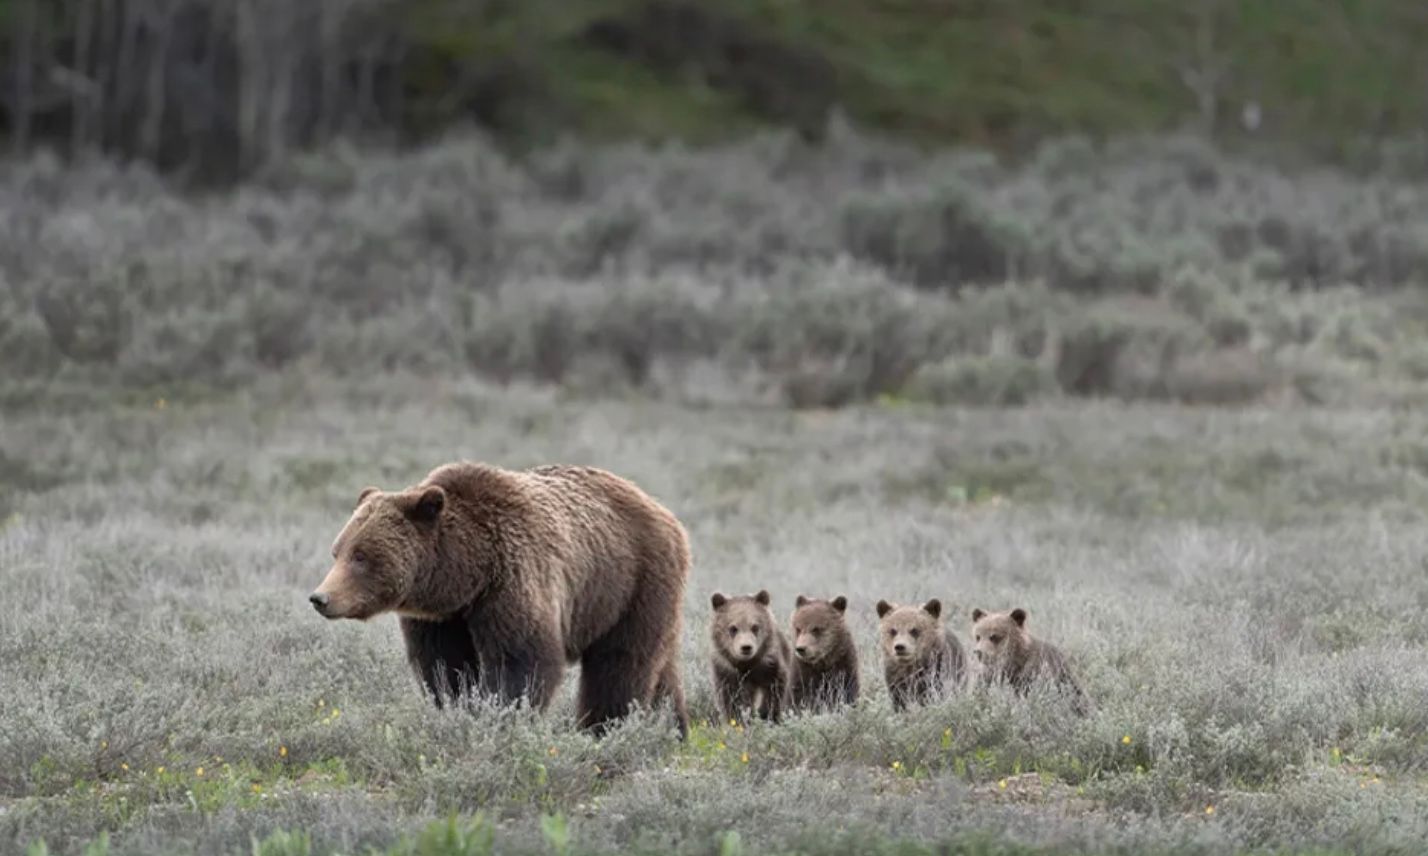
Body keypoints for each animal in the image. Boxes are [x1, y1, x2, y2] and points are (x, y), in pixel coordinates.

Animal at [309, 463, 694, 737]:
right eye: (337, 551)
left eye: (361, 556)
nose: (320, 597)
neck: (466, 574)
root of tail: (665, 513)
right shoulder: (441, 619)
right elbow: (446, 667)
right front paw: (460, 708)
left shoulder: (512, 580)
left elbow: (522, 661)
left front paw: (500, 717)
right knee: (660, 666)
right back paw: (672, 729)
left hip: (629, 582)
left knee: (620, 663)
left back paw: (603, 729)